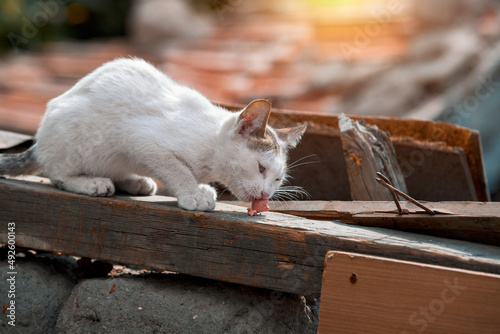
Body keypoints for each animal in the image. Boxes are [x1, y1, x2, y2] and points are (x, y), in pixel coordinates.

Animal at [0, 56, 306, 209]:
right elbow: (177, 169)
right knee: (57, 173)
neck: (210, 160)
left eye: (278, 179)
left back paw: (136, 182)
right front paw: (193, 194)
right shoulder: (139, 138)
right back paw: (91, 183)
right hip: (75, 136)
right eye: (260, 168)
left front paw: (200, 188)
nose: (266, 194)